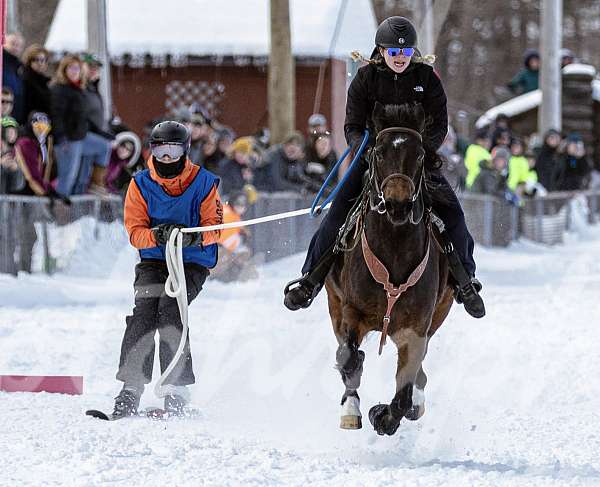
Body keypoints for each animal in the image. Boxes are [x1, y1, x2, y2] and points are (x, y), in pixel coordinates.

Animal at [326, 101, 452, 436]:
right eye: (379, 153)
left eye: (419, 155)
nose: (397, 204)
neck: (394, 250)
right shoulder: (352, 311)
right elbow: (350, 359)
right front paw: (353, 409)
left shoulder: (417, 326)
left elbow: (404, 392)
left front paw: (383, 415)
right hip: (333, 304)